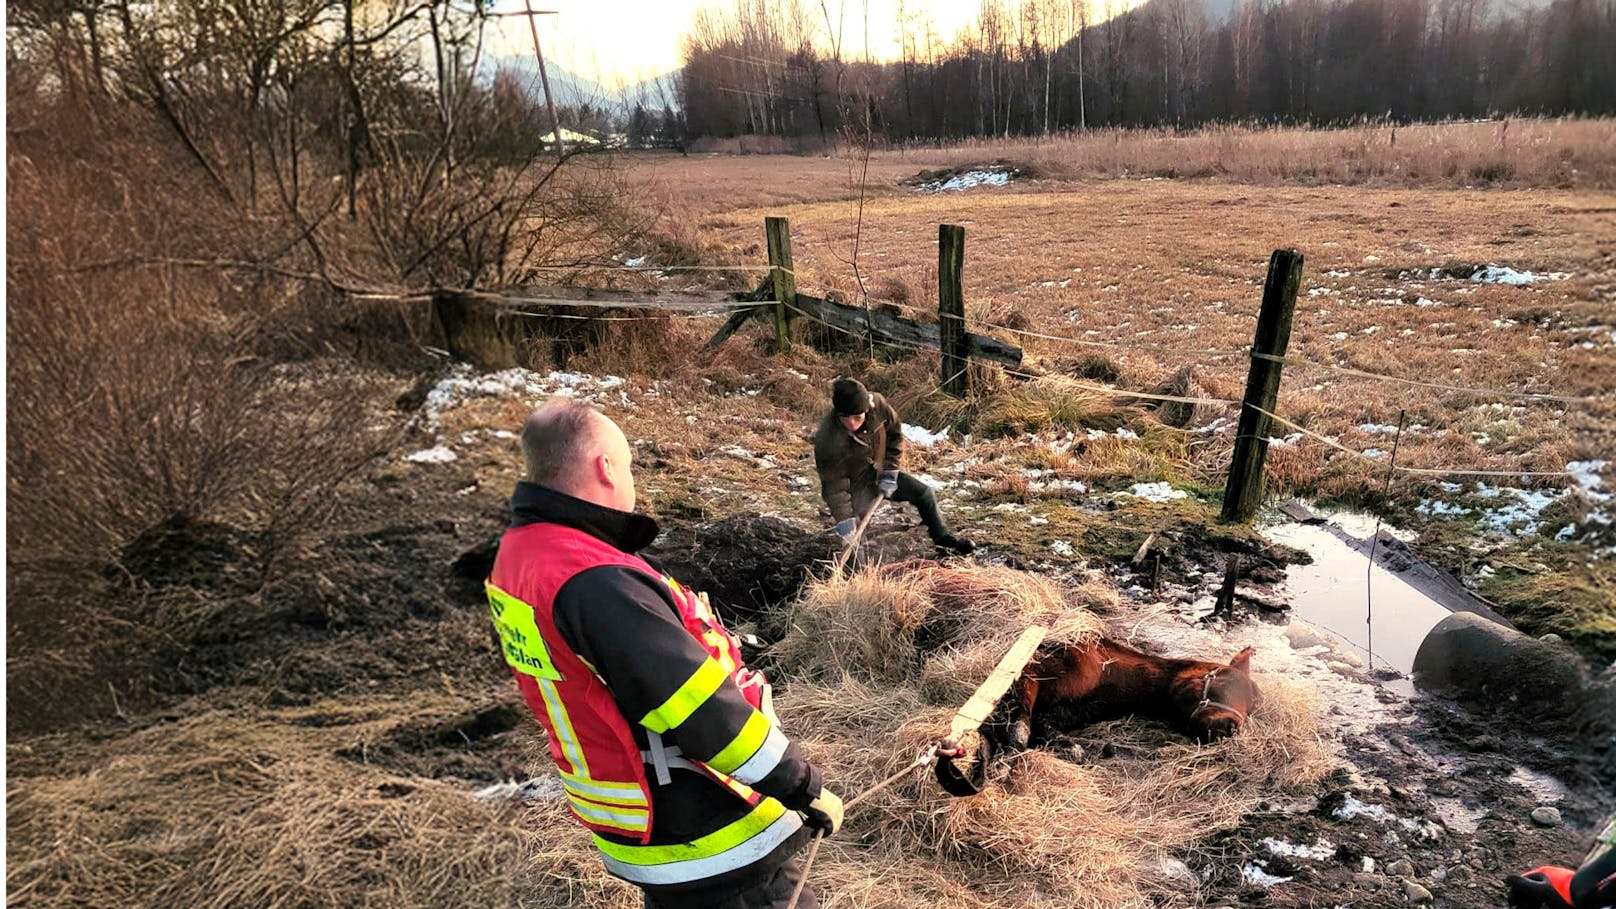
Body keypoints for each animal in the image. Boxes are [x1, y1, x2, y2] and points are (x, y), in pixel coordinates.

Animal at [937, 637, 1260, 792]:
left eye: (1252, 706)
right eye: (1219, 681)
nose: (1229, 728)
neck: (1106, 670)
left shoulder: (1067, 712)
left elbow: (1039, 731)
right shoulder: (1028, 676)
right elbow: (1020, 730)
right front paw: (1001, 768)